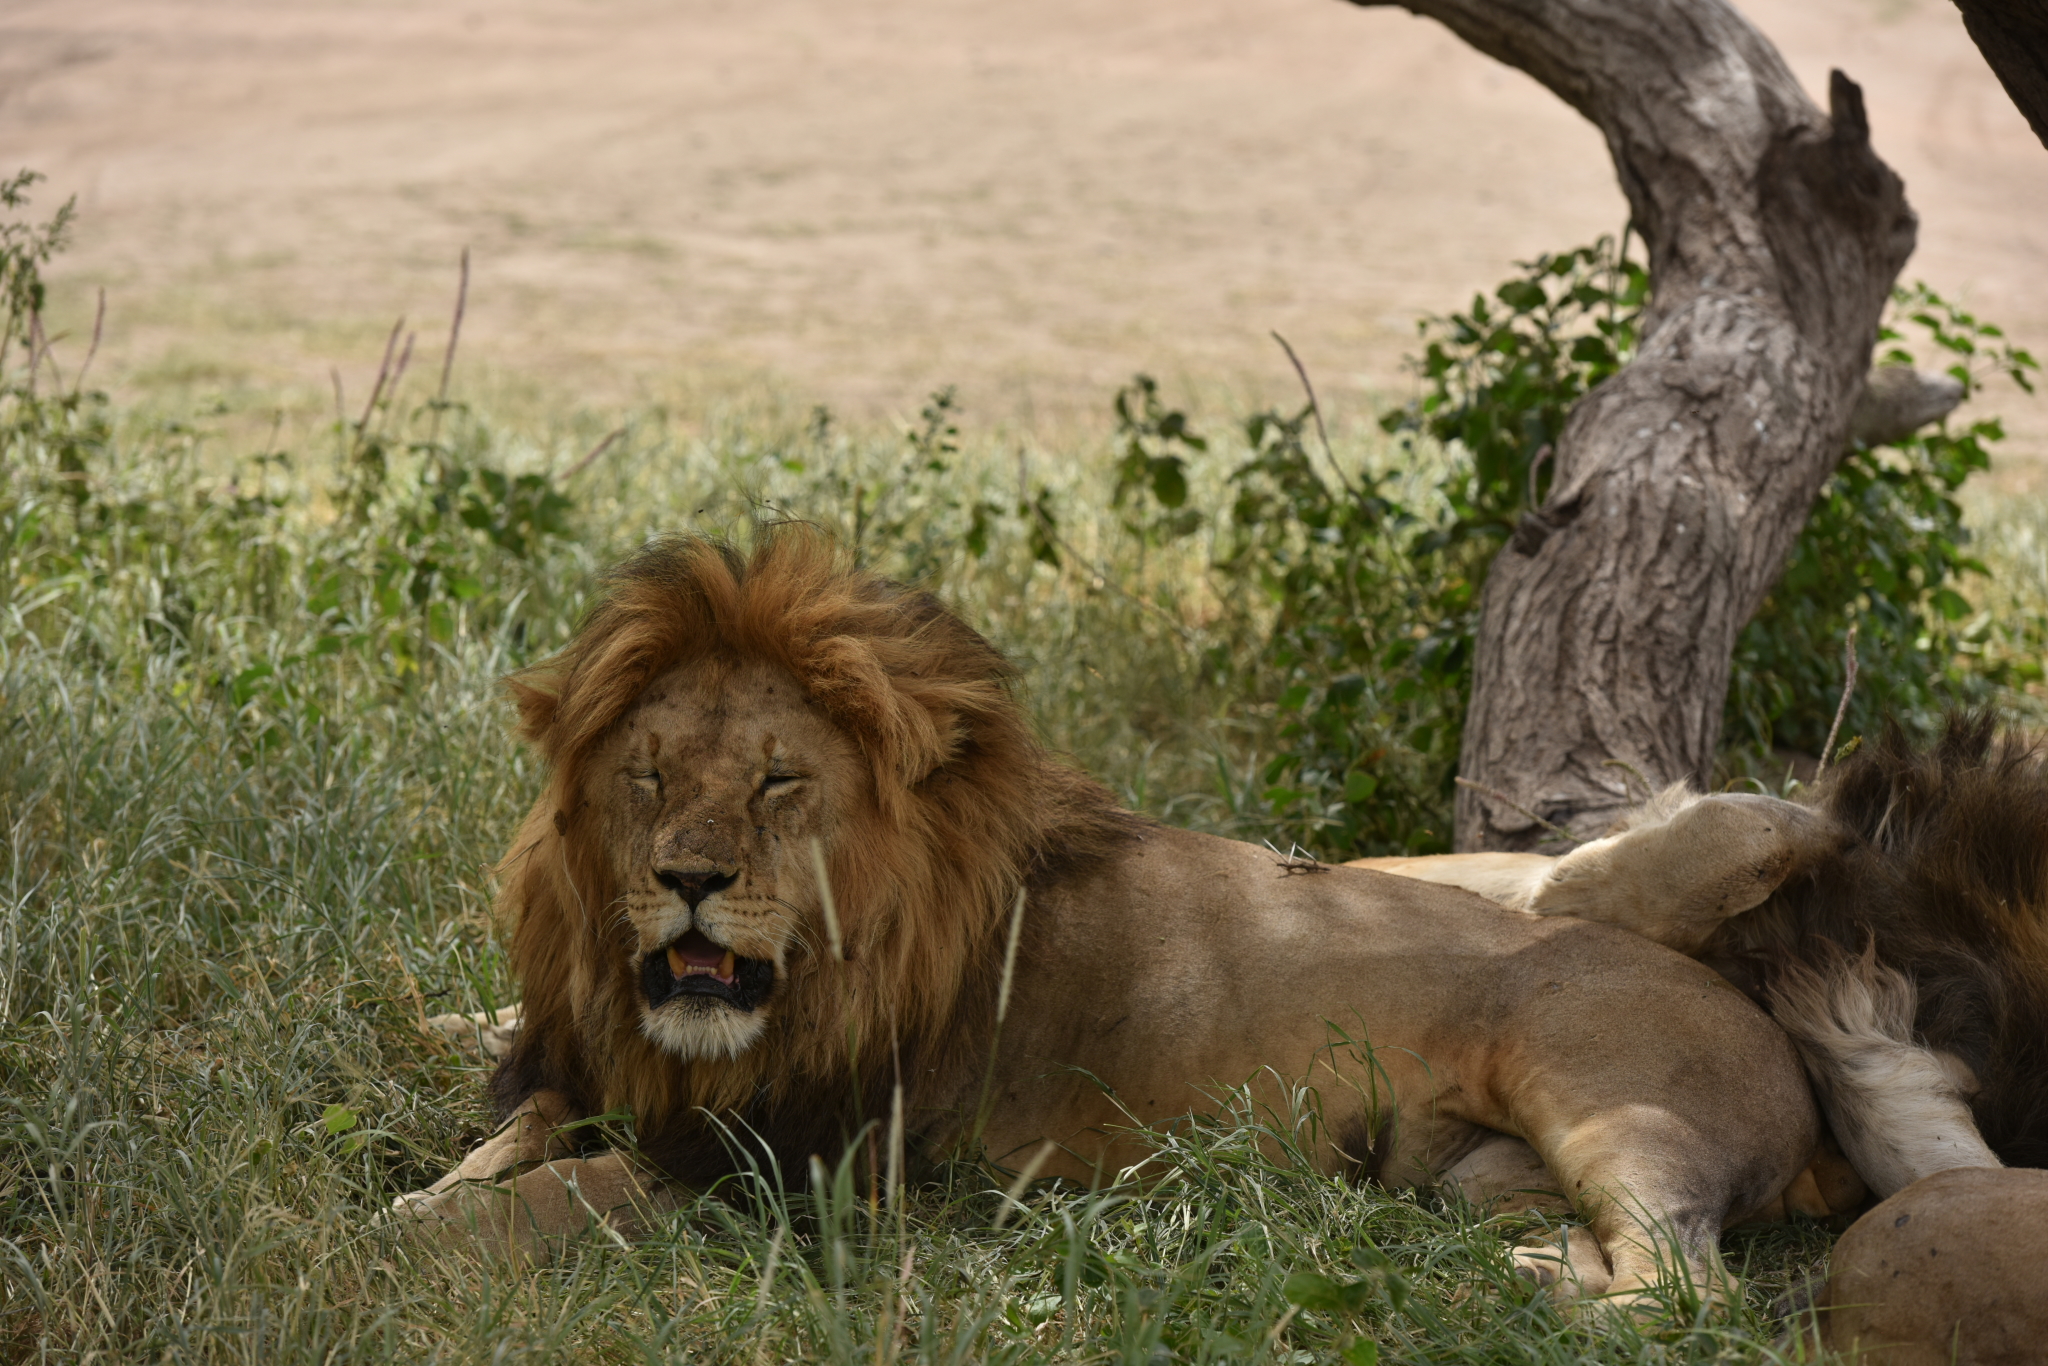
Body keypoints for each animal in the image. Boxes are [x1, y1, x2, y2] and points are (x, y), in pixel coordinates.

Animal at [399, 528, 1826, 1310]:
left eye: (775, 781)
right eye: (646, 777)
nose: (684, 877)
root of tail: (1779, 1039)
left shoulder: (816, 1162)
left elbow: (577, 1187)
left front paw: (428, 1237)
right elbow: (518, 1133)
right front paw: (438, 1187)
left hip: (1608, 1101)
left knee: (1695, 1299)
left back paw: (1546, 1312)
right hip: (1481, 1174)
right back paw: (1534, 1272)